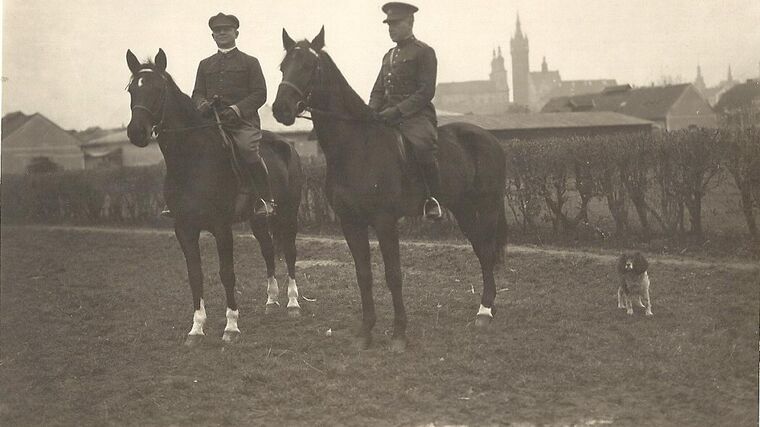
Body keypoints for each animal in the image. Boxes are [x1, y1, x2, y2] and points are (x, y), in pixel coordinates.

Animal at [124, 48, 302, 346]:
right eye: (131, 90)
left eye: (158, 89)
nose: (136, 132)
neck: (192, 160)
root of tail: (288, 145)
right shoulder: (184, 228)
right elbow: (195, 275)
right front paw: (196, 328)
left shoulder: (221, 228)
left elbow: (226, 273)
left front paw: (231, 327)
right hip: (258, 219)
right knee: (268, 251)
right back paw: (271, 301)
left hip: (289, 214)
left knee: (289, 251)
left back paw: (293, 303)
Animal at [270, 28, 508, 352]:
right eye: (283, 66)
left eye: (310, 66)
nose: (280, 109)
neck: (356, 146)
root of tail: (489, 138)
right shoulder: (351, 222)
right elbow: (364, 274)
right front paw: (365, 332)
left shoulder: (384, 222)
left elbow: (393, 275)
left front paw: (399, 334)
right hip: (463, 209)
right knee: (483, 250)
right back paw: (488, 308)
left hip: (487, 207)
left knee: (486, 250)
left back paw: (484, 311)